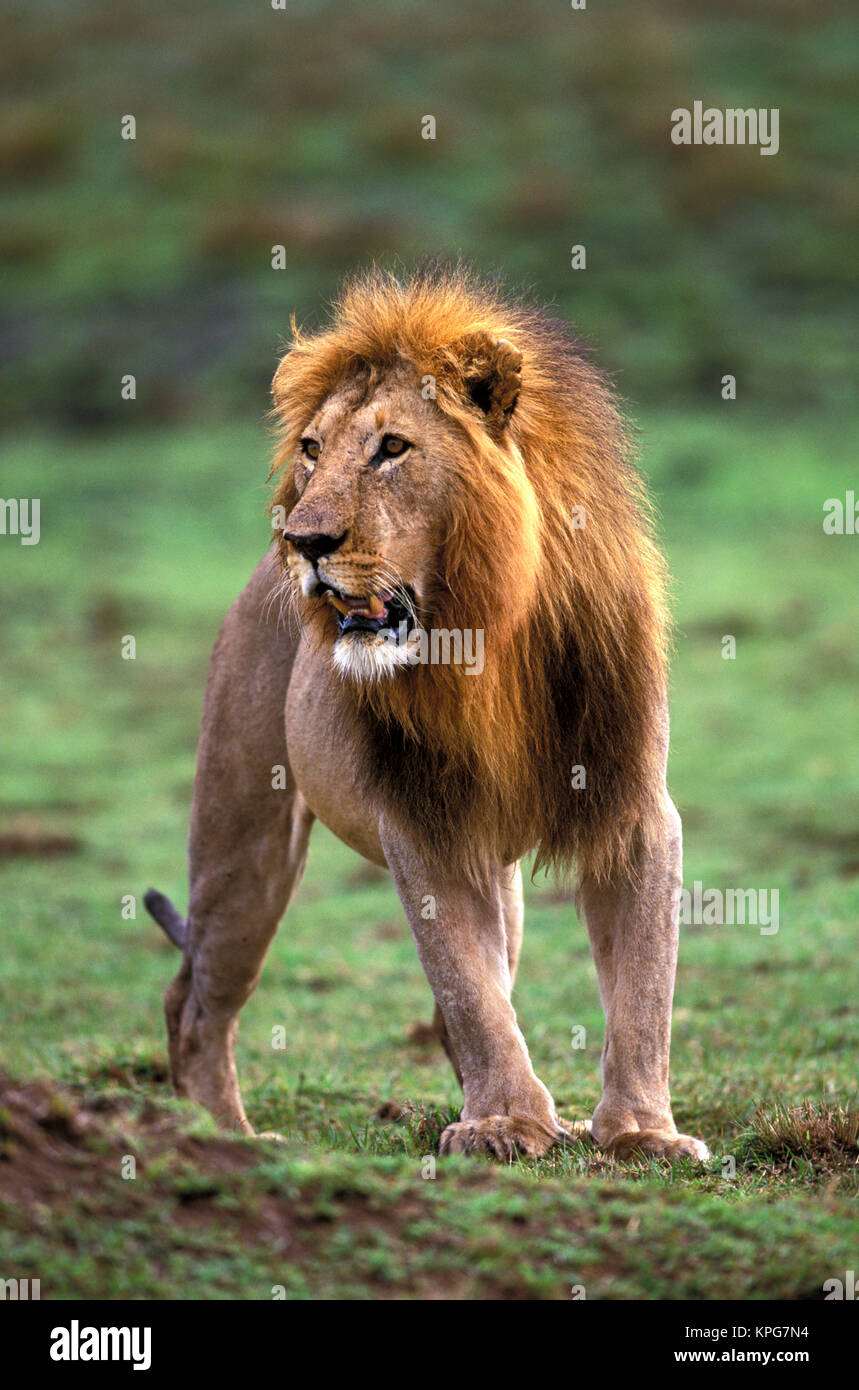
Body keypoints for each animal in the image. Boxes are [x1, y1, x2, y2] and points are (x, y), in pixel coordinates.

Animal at [145, 265, 708, 1163]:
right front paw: (504, 1123)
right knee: (194, 996)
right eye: (312, 449)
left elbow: (642, 986)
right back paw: (225, 1137)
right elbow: (468, 989)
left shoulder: (632, 807)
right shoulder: (424, 820)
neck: (485, 637)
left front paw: (641, 1134)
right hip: (244, 843)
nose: (304, 541)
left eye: (392, 449)